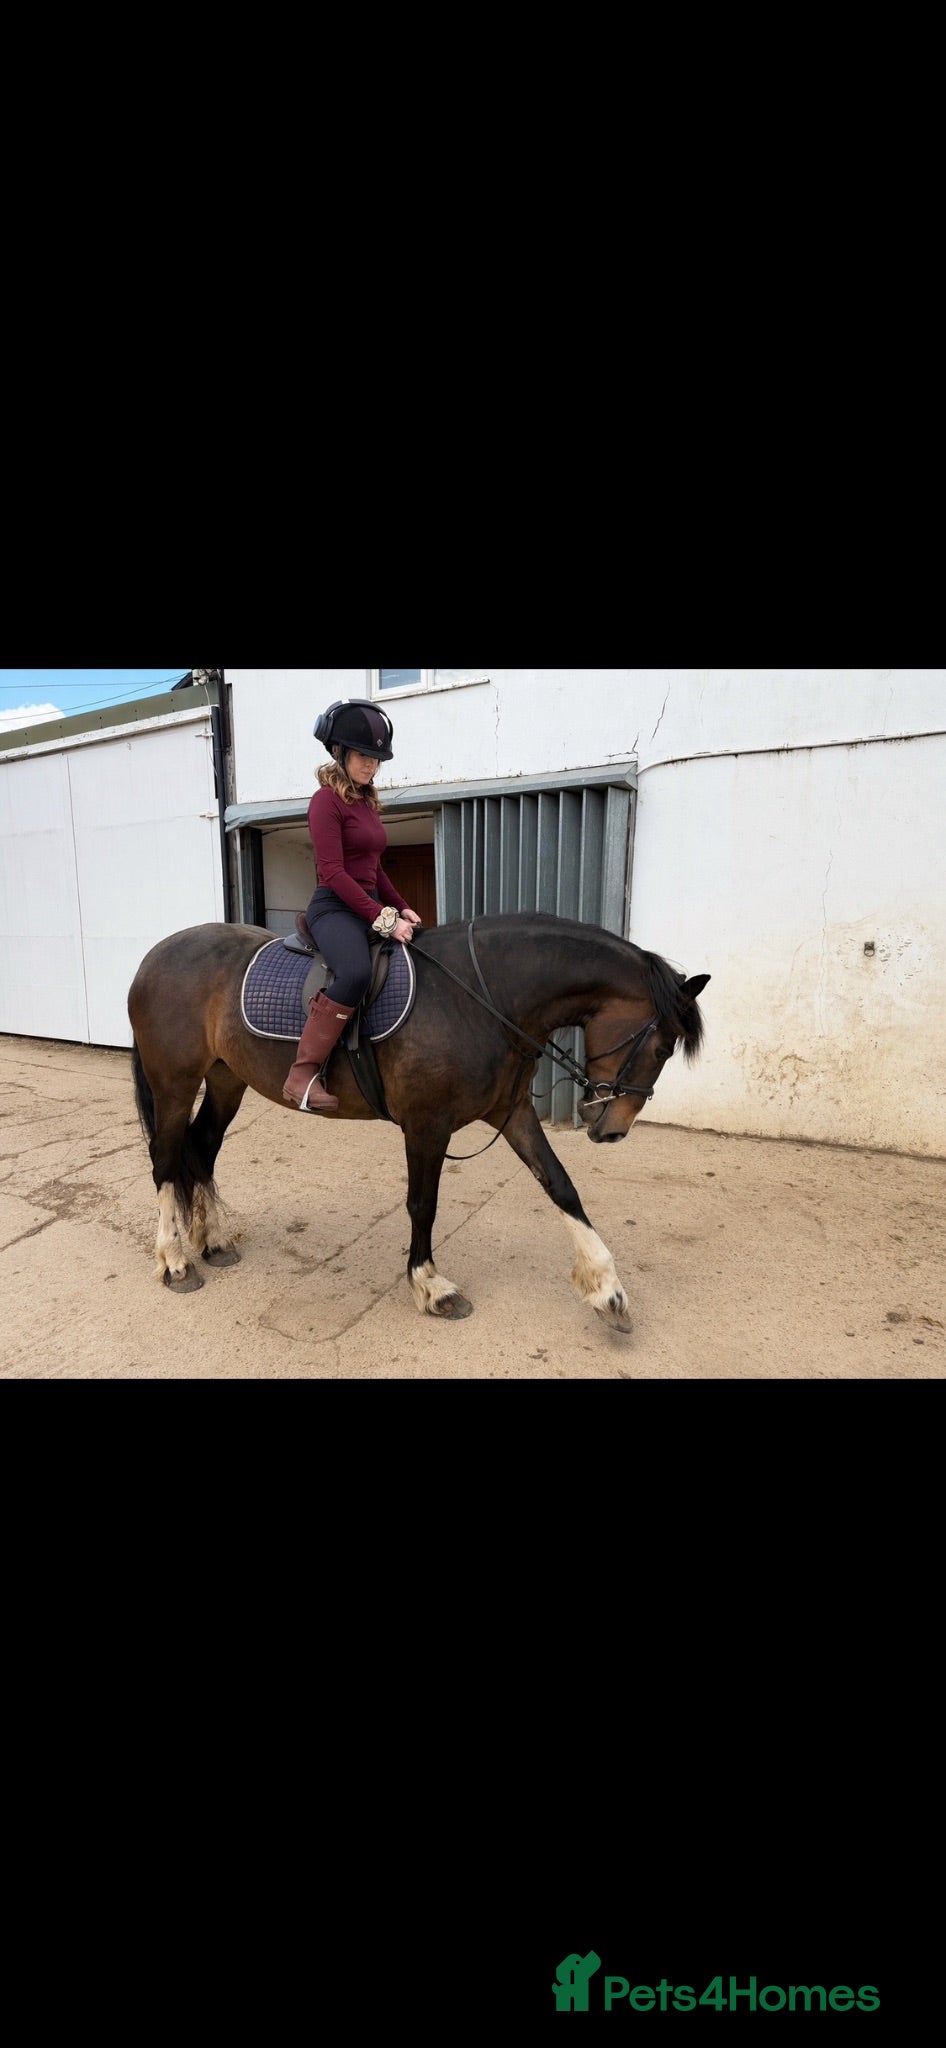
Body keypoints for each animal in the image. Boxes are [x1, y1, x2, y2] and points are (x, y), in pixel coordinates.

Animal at [127, 914, 709, 1334]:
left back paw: (212, 1242)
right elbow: (422, 1204)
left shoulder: (512, 1112)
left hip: (227, 1080)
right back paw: (175, 1261)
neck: (484, 996)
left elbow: (561, 1186)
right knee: (165, 1161)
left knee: (202, 1149)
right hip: (175, 1084)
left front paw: (607, 1291)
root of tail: (155, 956)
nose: (612, 1128)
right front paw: (431, 1287)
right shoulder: (427, 1125)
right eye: (662, 1046)